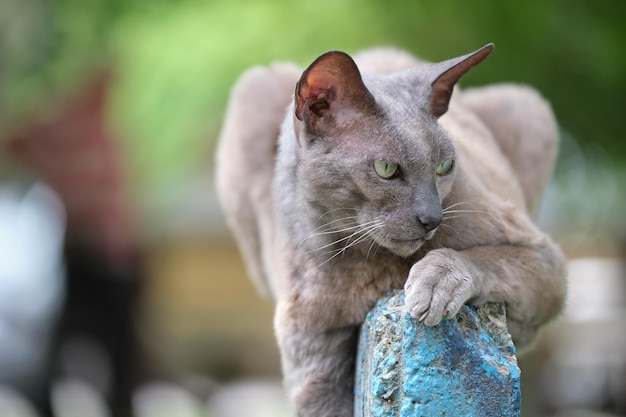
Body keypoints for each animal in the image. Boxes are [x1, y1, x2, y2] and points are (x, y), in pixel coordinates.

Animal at [214, 43, 564, 416]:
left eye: (444, 166)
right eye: (386, 169)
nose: (432, 218)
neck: (368, 263)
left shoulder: (543, 259)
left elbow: (473, 257)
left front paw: (431, 287)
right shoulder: (313, 358)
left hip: (527, 109)